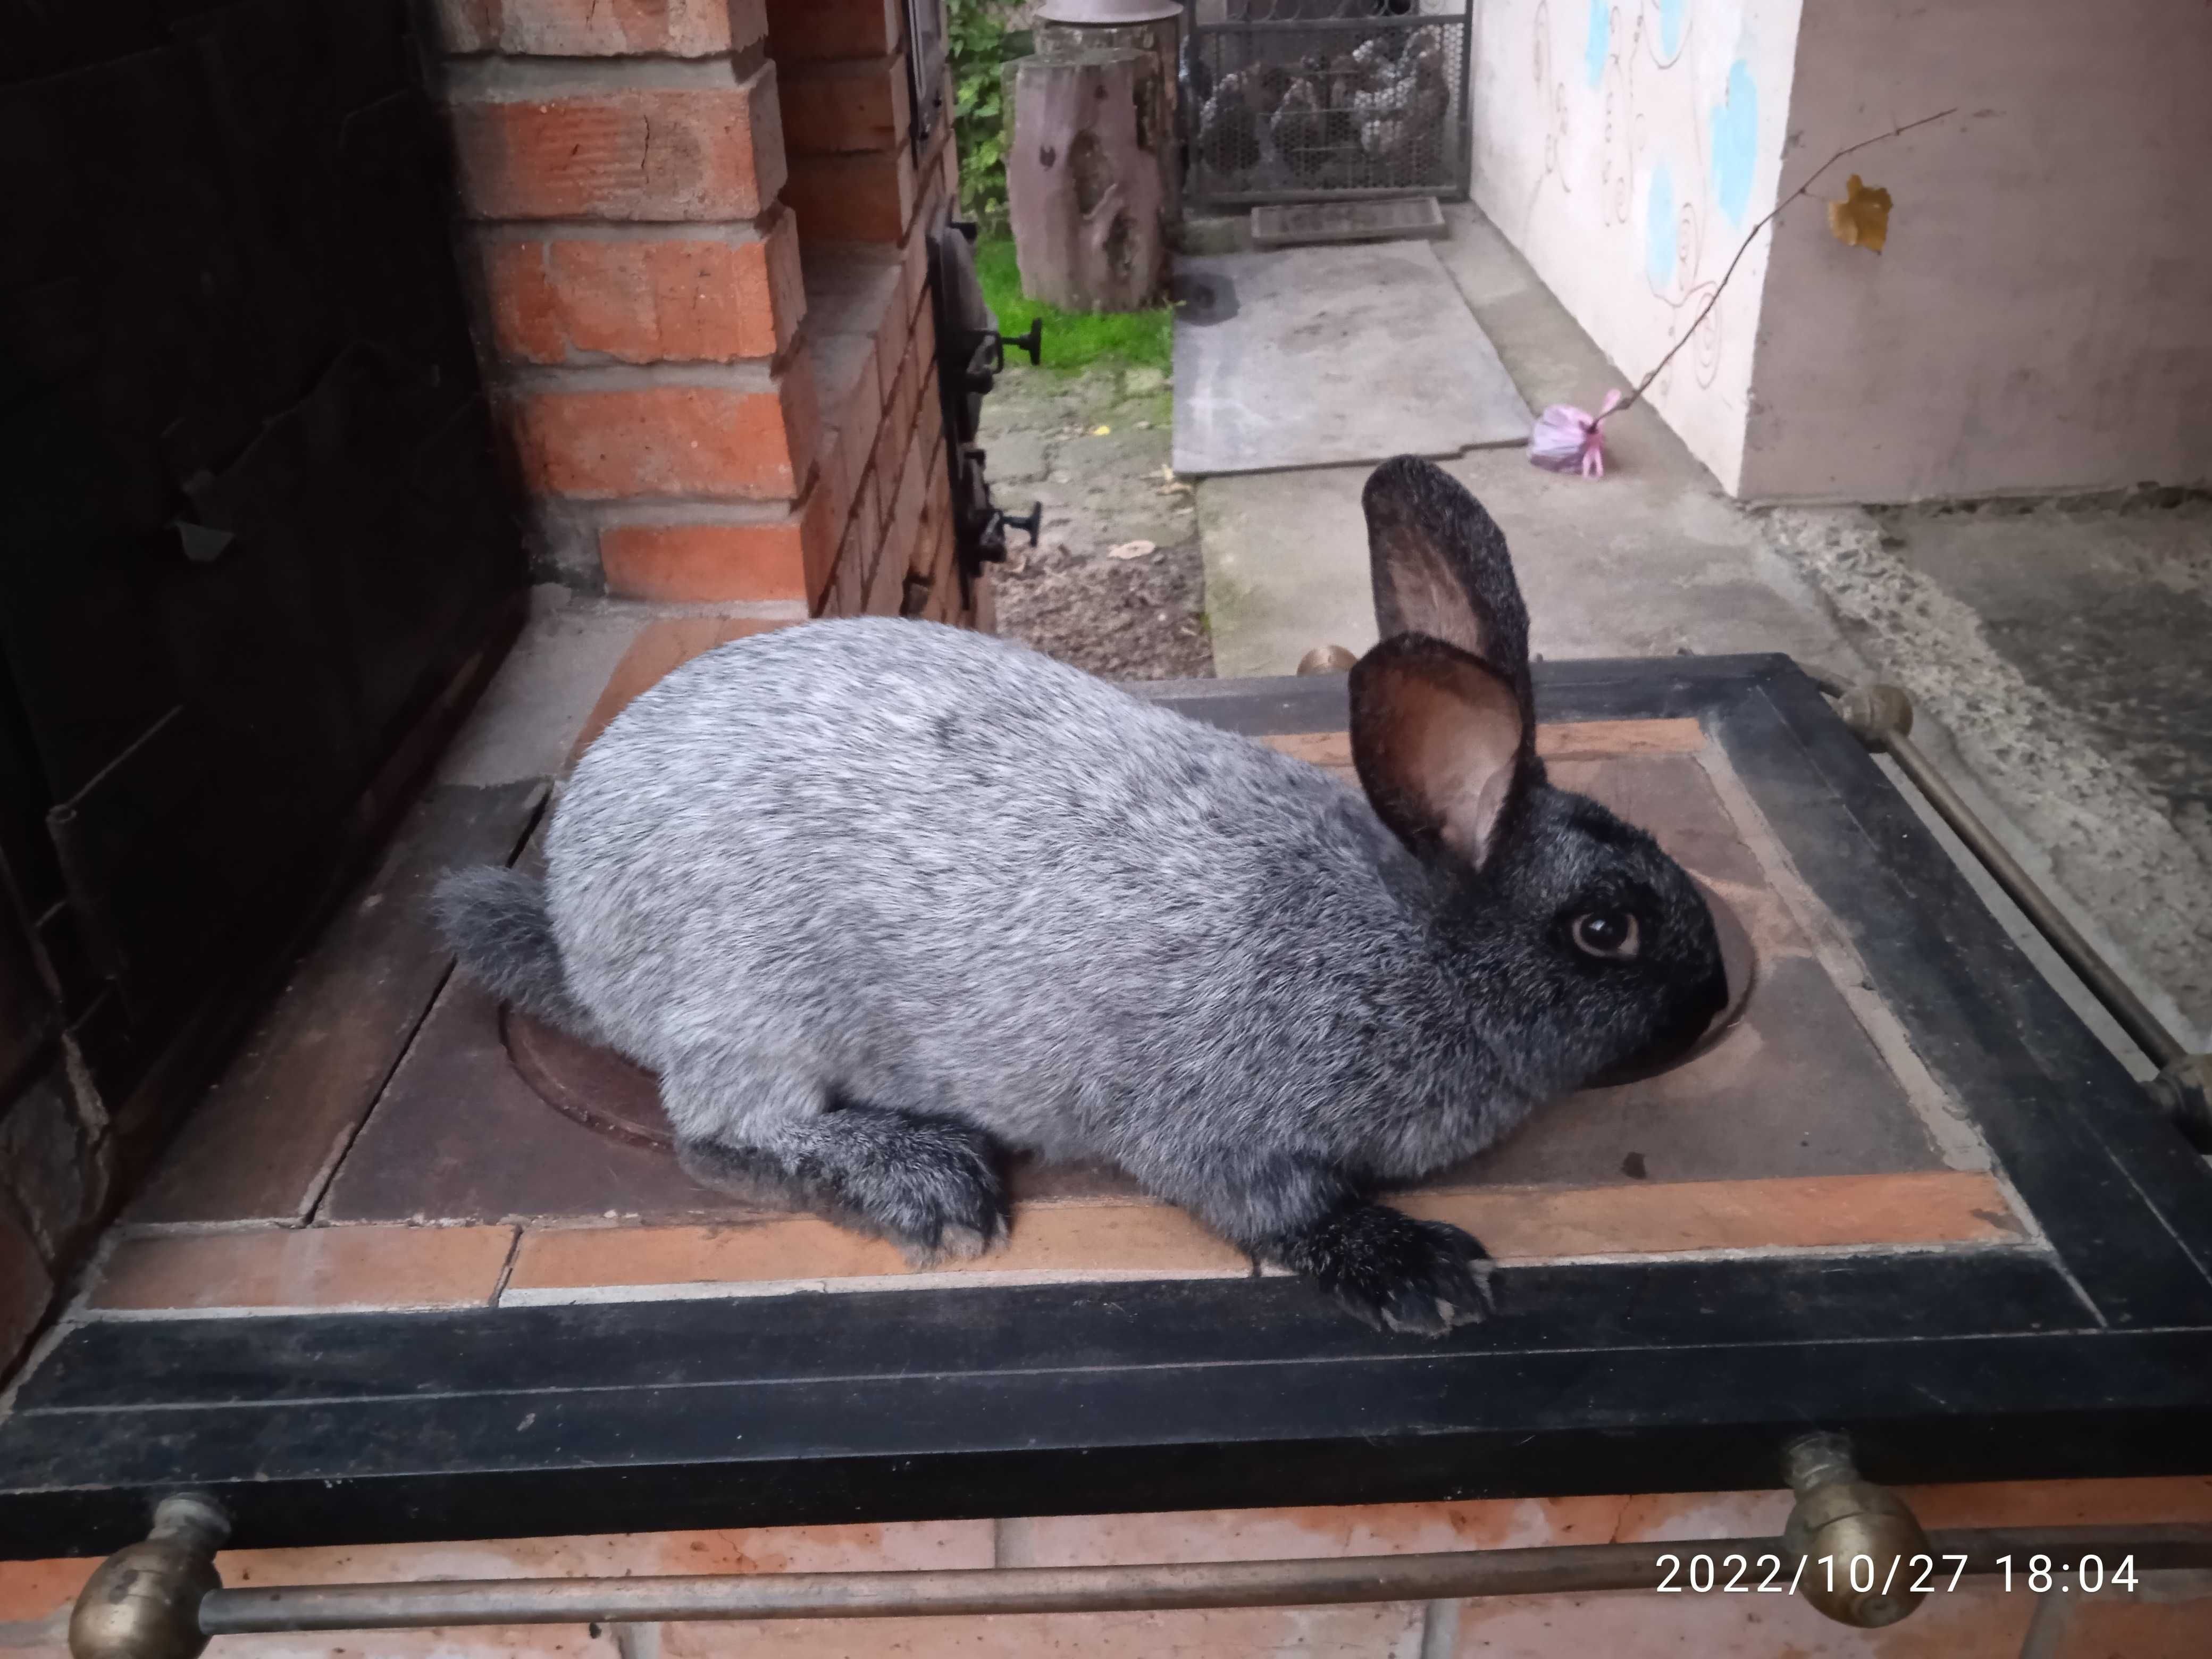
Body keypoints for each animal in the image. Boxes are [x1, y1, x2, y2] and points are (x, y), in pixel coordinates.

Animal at [431, 458, 1725, 1336]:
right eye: (1604, 929)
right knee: (726, 1125)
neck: (1405, 940)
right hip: (749, 1004)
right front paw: (1425, 1274)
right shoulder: (1219, 1128)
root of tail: (577, 928)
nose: (1714, 999)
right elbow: (1279, 1209)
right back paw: (929, 1183)